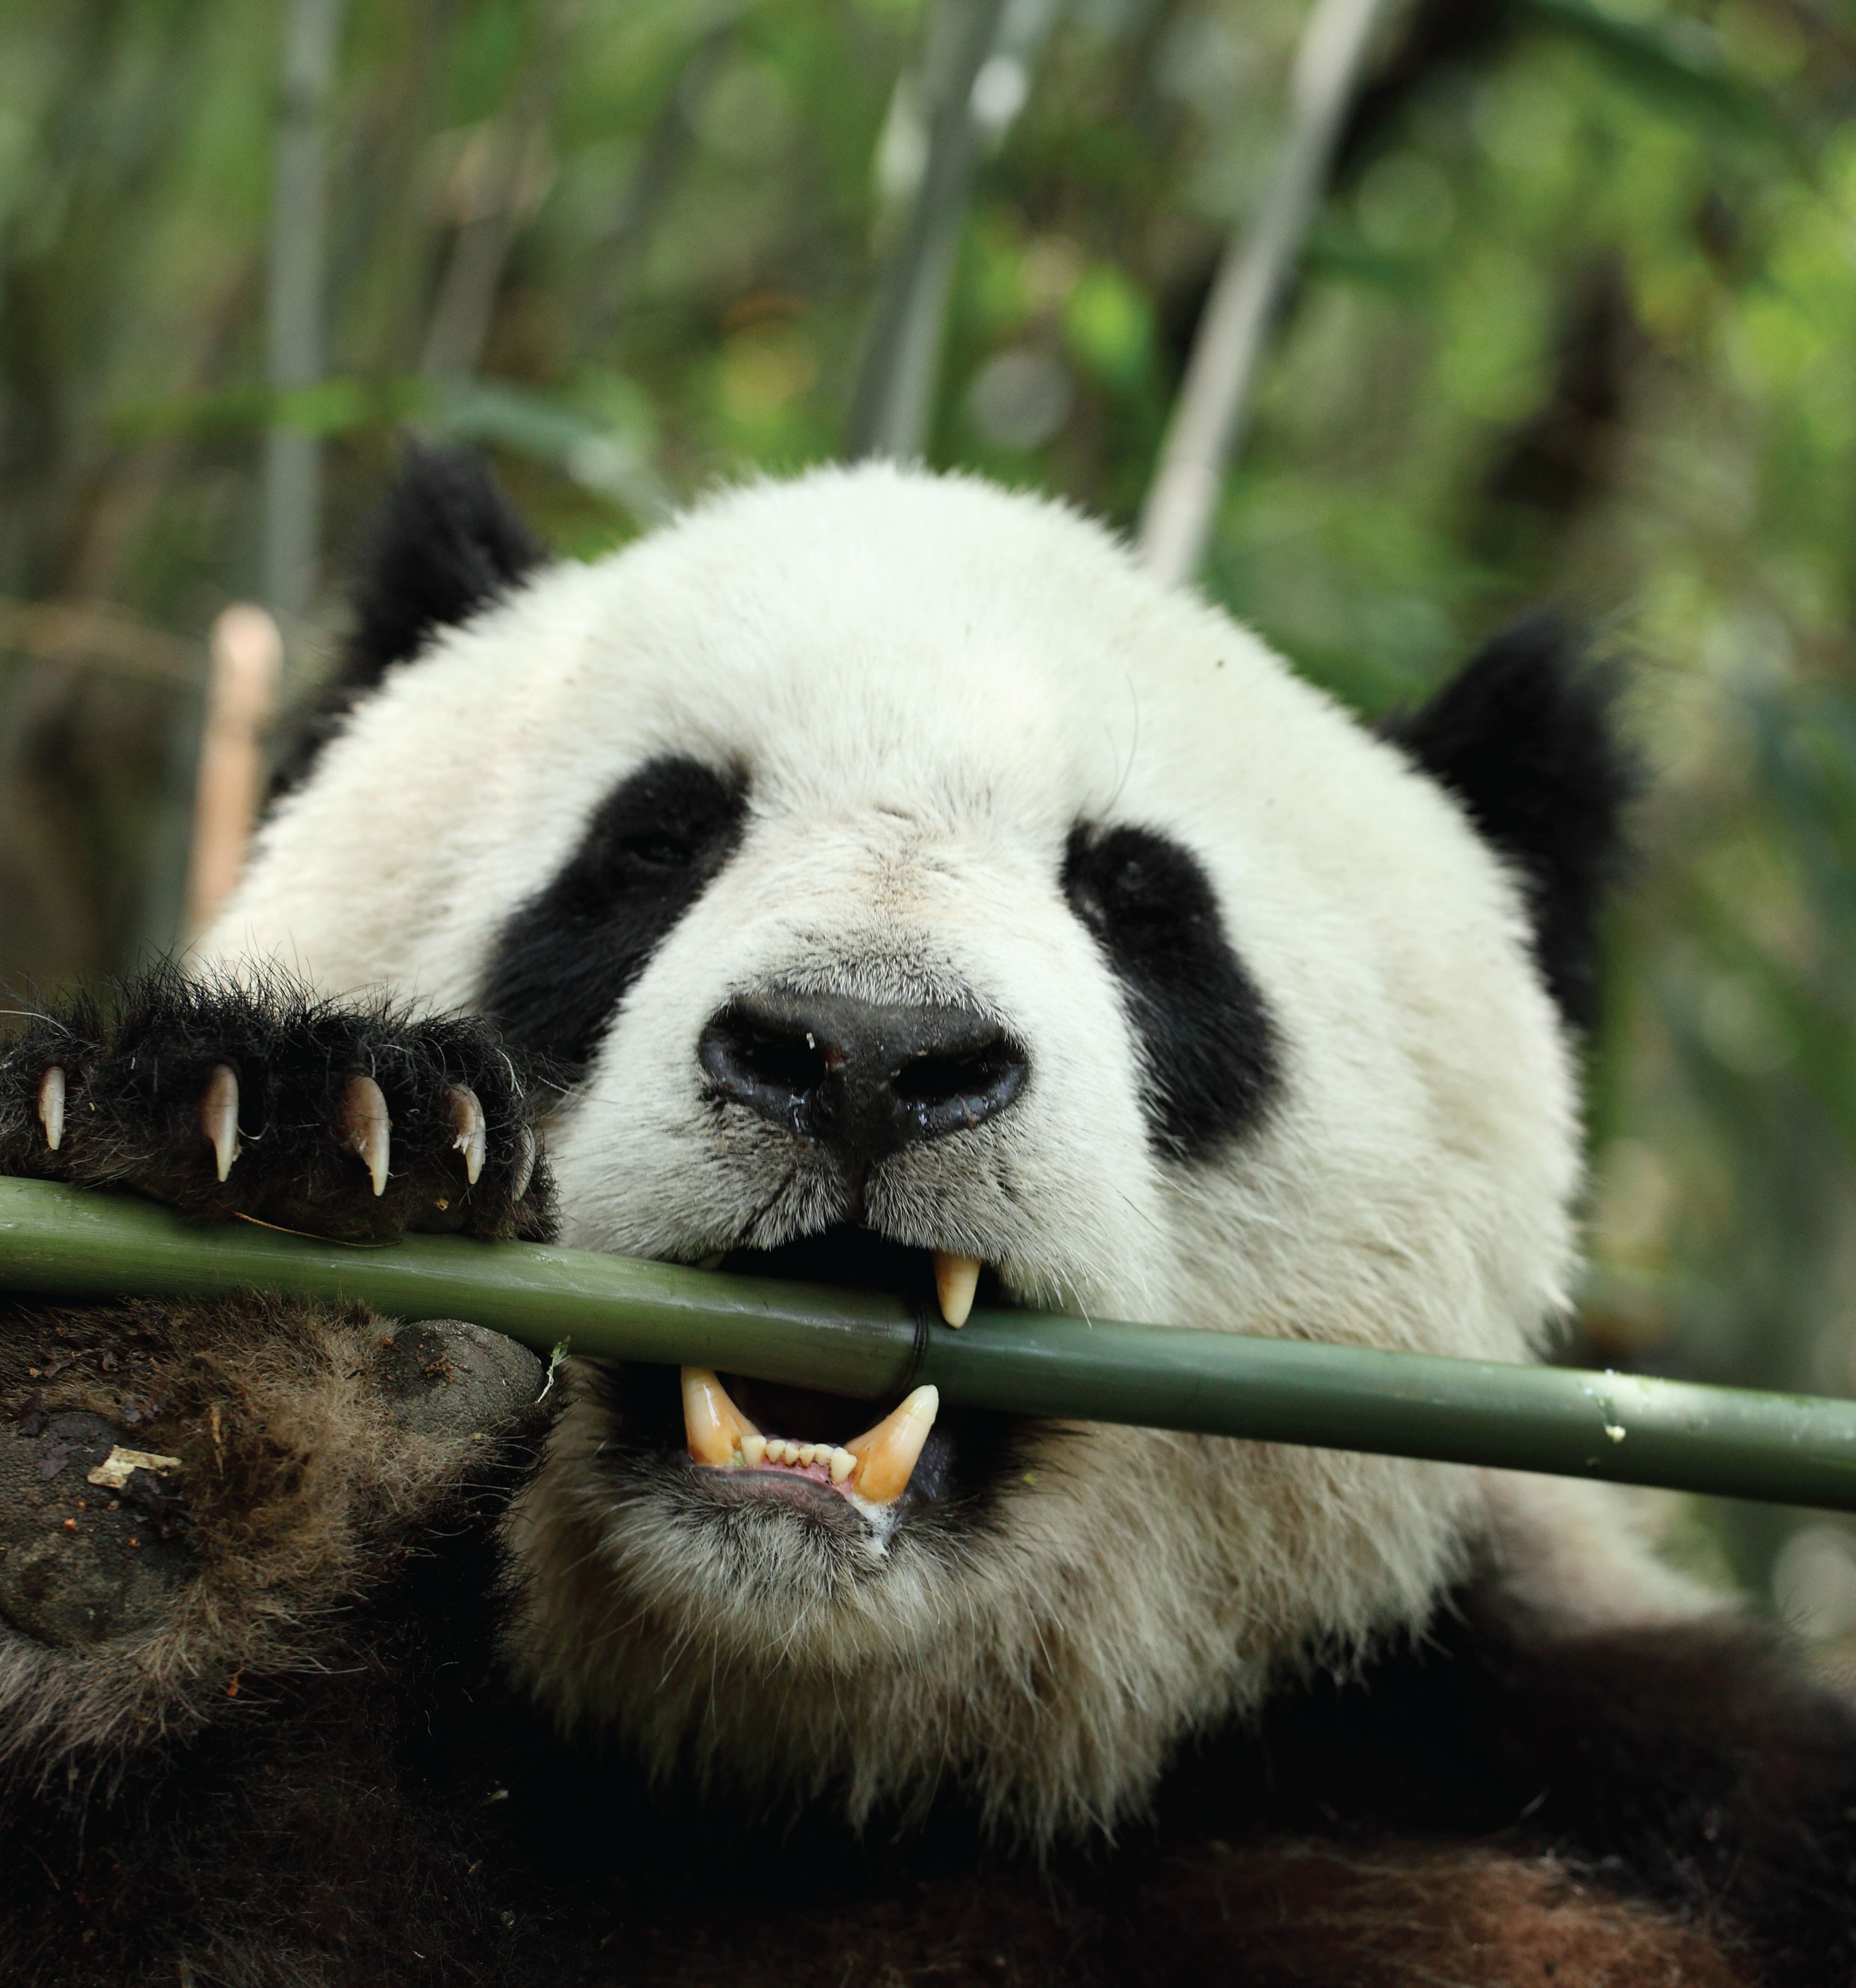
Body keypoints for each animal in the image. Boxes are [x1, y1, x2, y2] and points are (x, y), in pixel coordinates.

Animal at [3, 455, 1854, 1988]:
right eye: (649, 842)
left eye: (1142, 903)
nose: (867, 1051)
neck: (816, 1754)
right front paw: (247, 1261)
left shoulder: (1626, 1761)